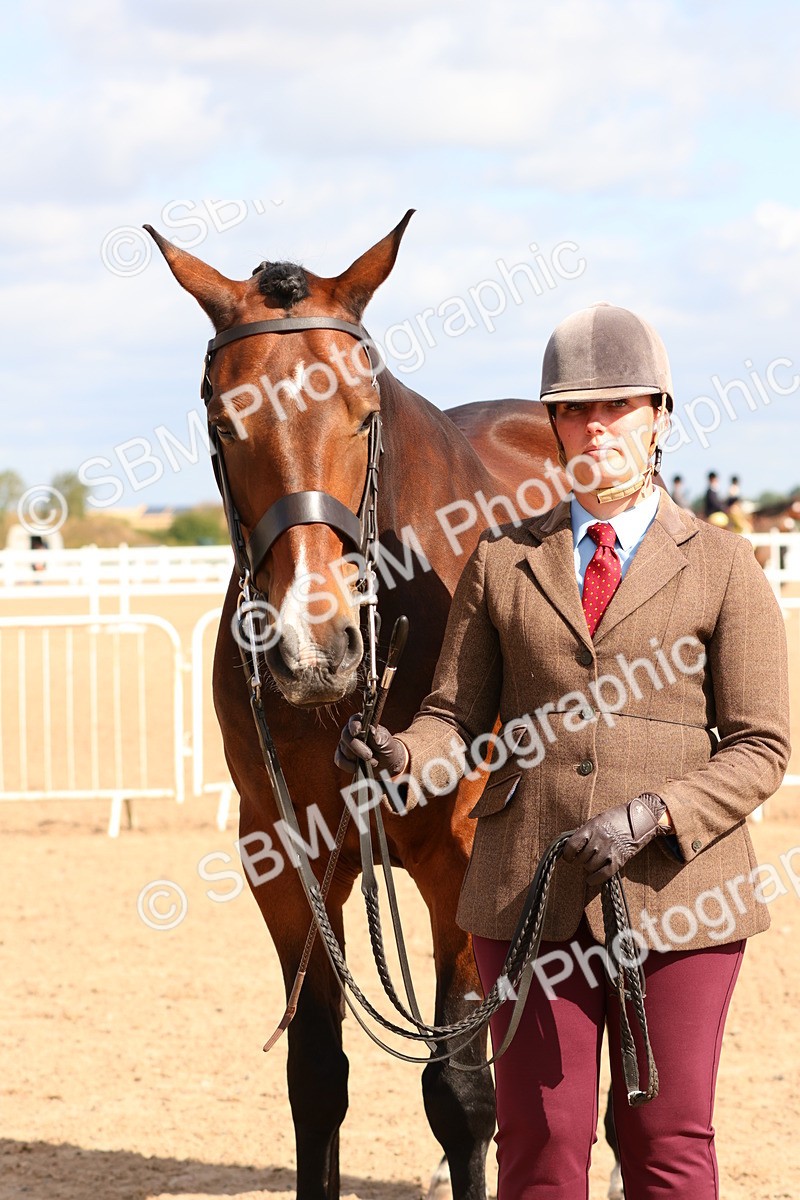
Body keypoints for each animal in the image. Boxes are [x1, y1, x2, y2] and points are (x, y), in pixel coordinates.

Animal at [146, 211, 562, 1200]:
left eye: (366, 416)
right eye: (222, 421)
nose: (314, 651)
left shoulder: (465, 864)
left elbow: (460, 1090)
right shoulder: (285, 856)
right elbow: (315, 1079)